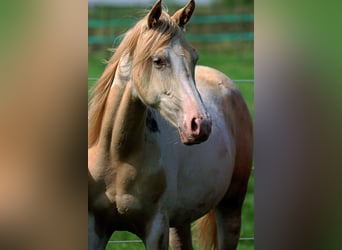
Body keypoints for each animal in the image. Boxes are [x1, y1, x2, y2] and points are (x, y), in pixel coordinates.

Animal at [88, 0, 254, 249]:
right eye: (158, 61)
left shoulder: (156, 229)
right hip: (180, 221)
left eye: (194, 58)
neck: (117, 157)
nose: (201, 124)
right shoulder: (95, 228)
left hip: (231, 207)